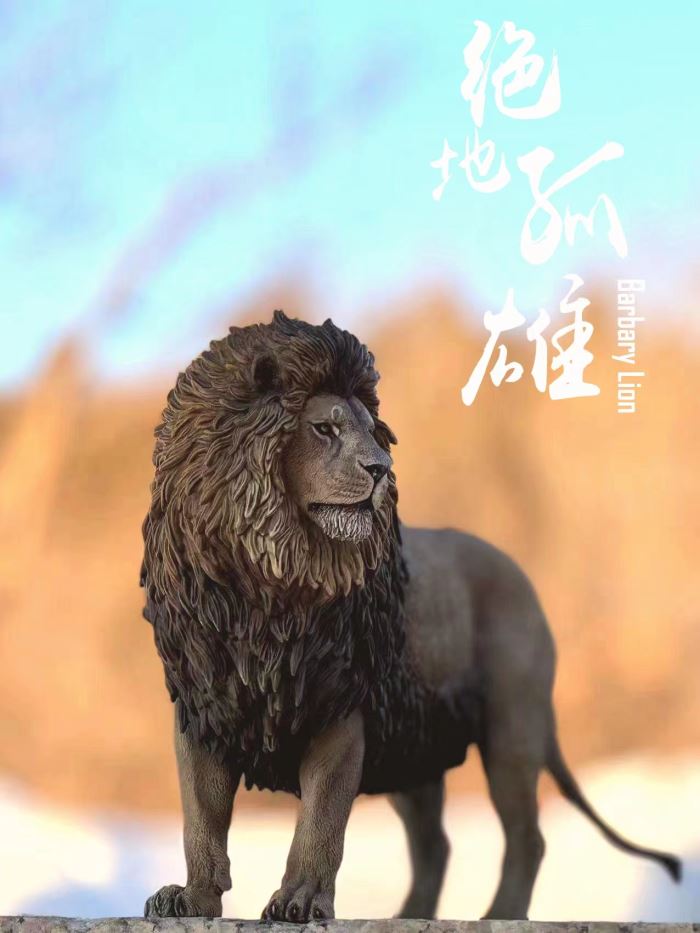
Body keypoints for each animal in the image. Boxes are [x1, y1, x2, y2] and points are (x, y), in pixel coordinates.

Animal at [141, 311, 679, 922]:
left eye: (373, 433)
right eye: (324, 429)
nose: (380, 469)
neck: (264, 583)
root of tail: (521, 577)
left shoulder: (339, 710)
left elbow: (320, 821)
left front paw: (300, 900)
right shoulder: (204, 708)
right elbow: (201, 817)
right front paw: (191, 899)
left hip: (512, 724)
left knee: (527, 837)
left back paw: (497, 916)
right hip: (414, 748)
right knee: (434, 845)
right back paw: (411, 915)